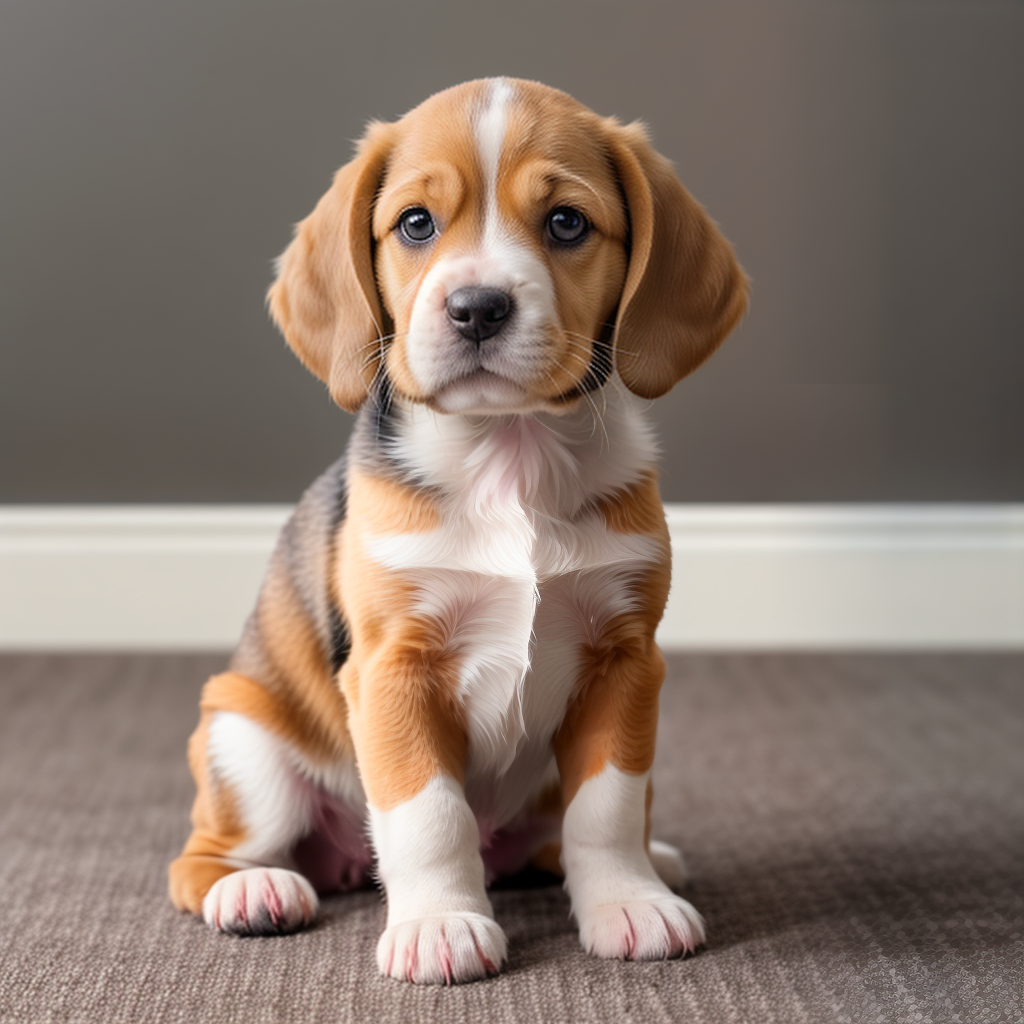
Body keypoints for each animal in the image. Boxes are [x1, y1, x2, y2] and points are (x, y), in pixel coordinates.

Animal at [165, 79, 745, 983]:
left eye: (567, 223)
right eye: (415, 224)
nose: (477, 308)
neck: (508, 459)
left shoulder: (626, 662)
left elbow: (608, 809)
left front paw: (628, 901)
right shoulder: (395, 668)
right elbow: (429, 814)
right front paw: (441, 922)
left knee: (564, 834)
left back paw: (648, 861)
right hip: (242, 738)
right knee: (203, 855)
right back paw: (252, 888)